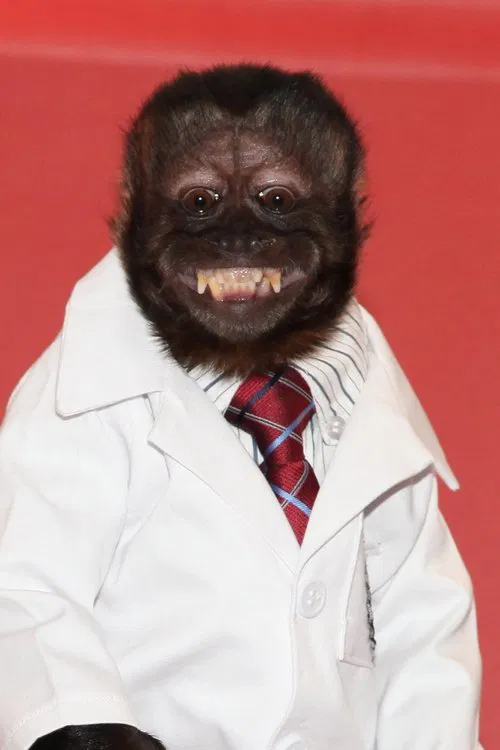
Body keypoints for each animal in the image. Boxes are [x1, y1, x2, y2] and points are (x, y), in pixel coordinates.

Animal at [0, 64, 482, 750]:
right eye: (201, 202)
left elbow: (425, 618)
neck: (249, 366)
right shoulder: (61, 425)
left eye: (274, 200)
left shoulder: (408, 493)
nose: (236, 239)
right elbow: (36, 597)